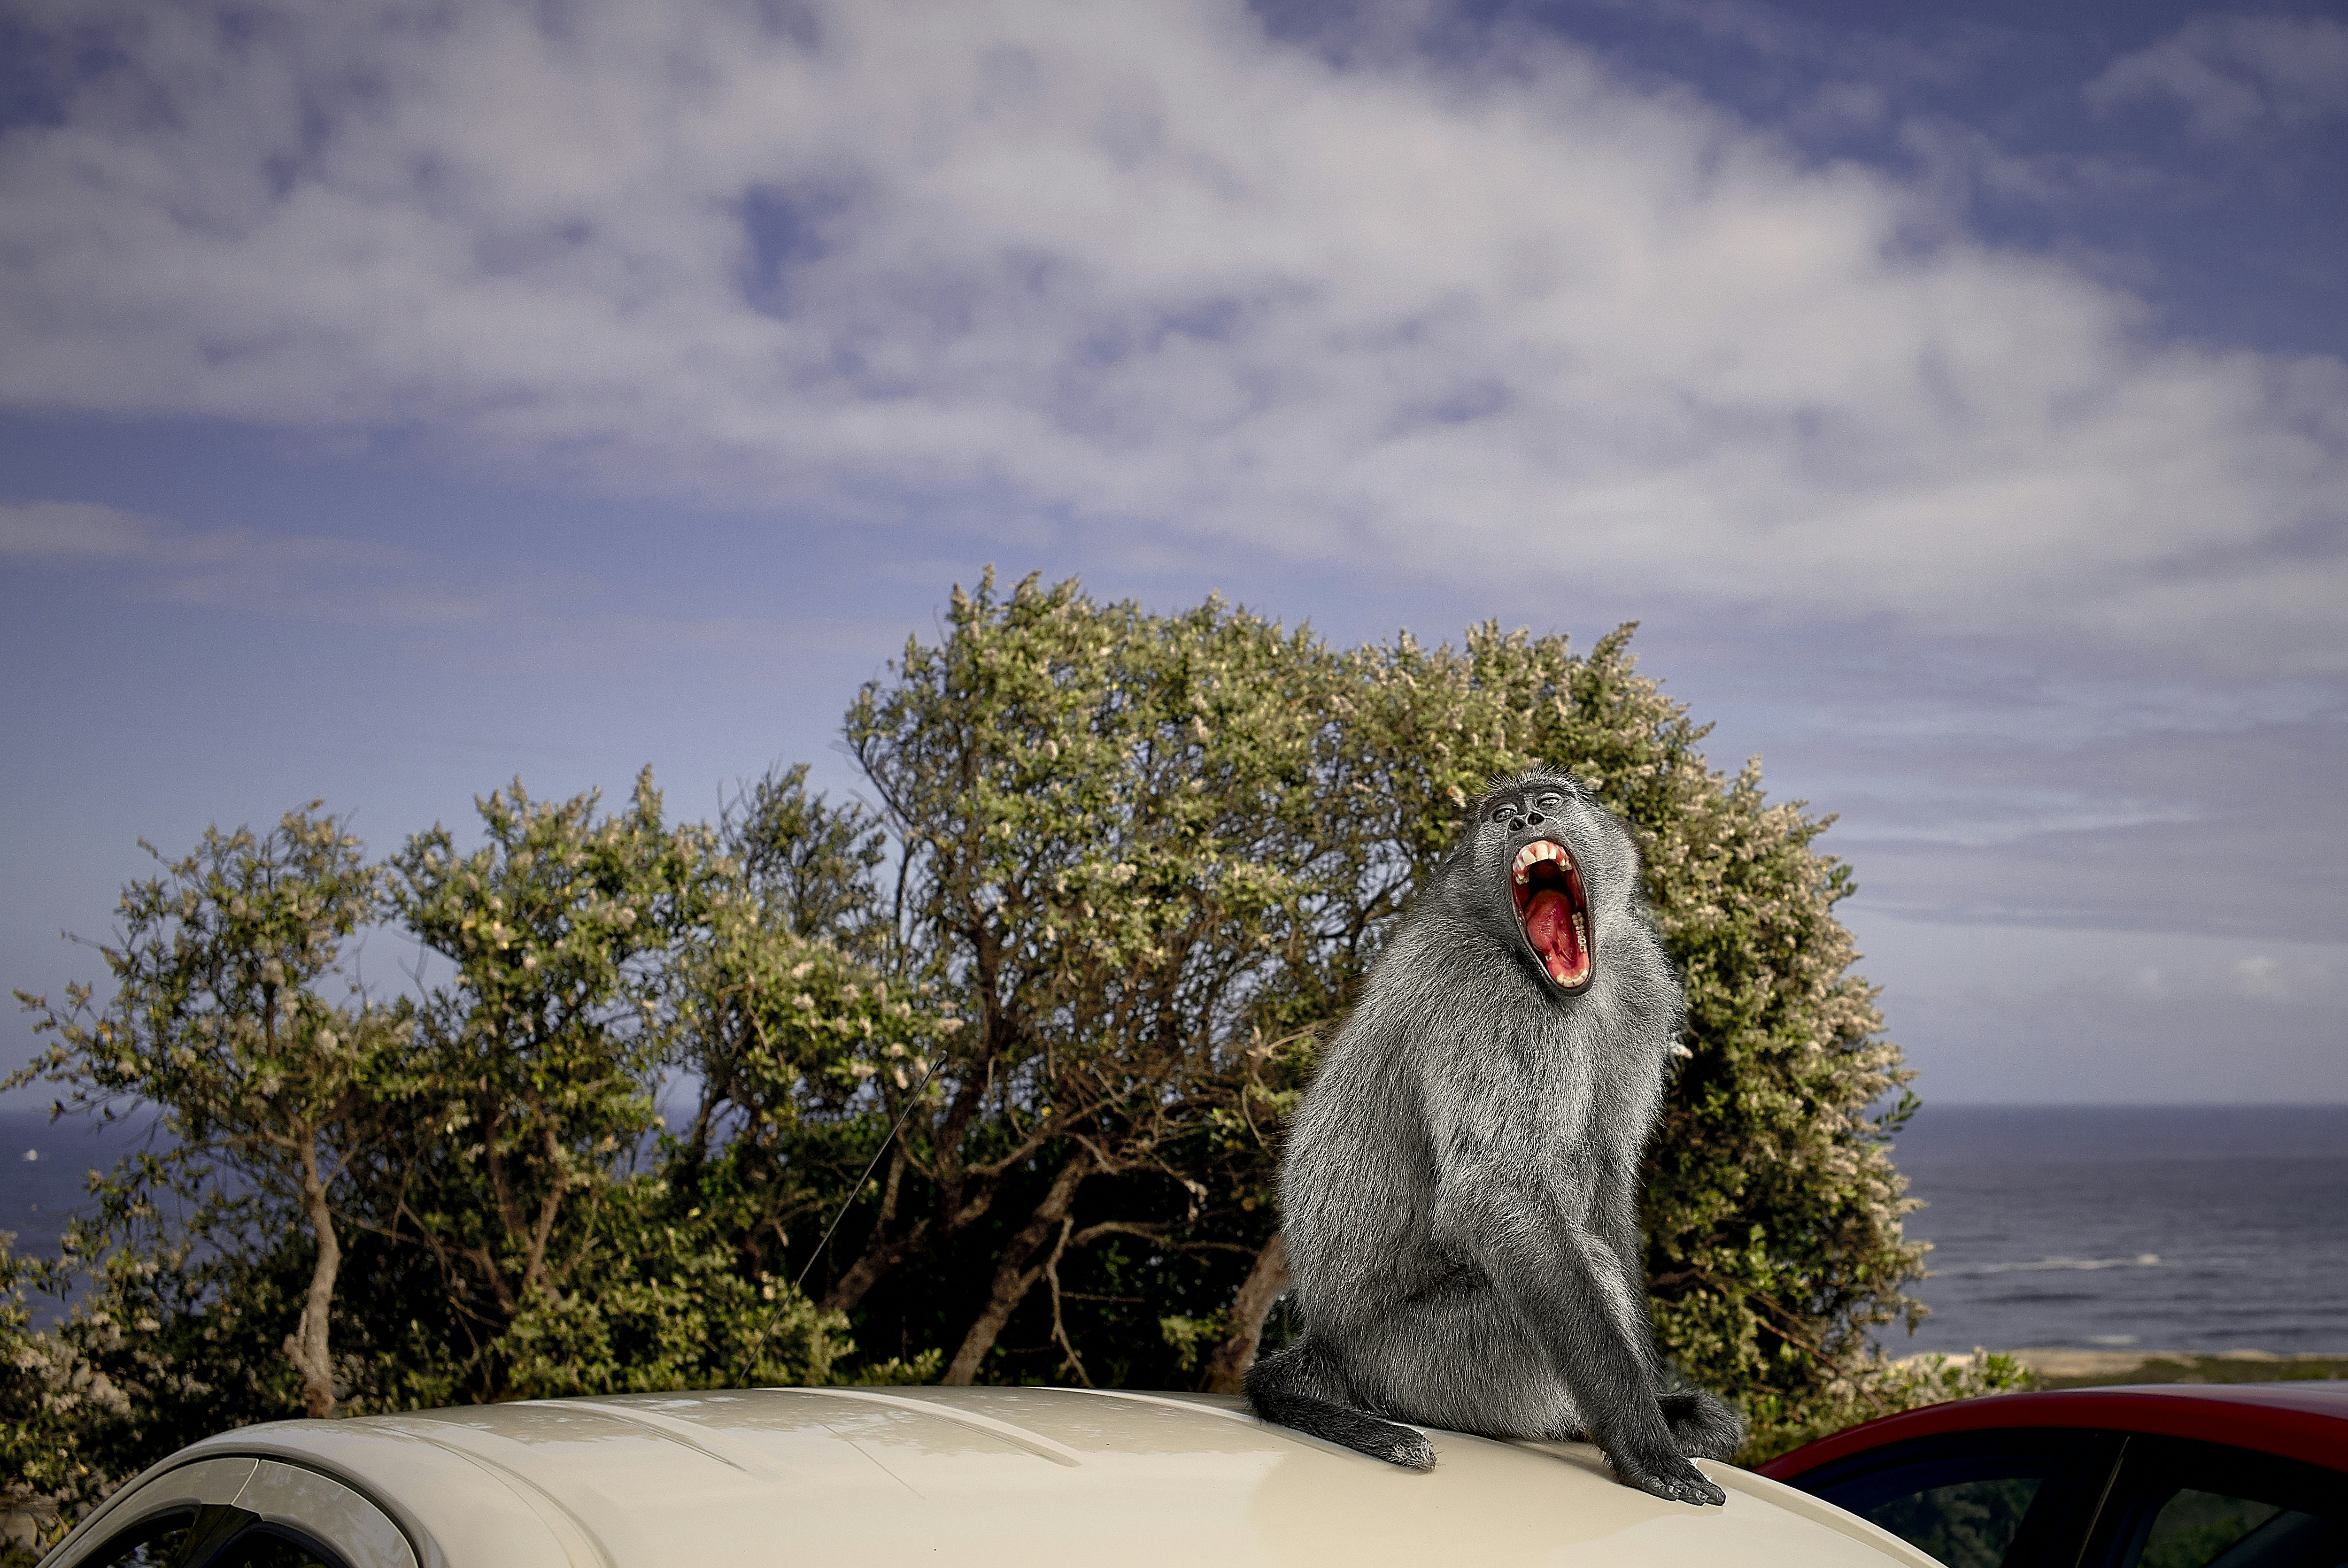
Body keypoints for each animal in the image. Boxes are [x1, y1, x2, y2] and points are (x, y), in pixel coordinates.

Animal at [1246, 769, 1743, 1506]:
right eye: (1501, 814)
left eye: (1552, 801)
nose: (1527, 818)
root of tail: (1334, 1344)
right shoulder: (1487, 998)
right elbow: (1499, 1191)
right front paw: (1643, 1439)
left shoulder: (1640, 986)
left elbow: (1606, 1174)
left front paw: (1660, 1408)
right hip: (1426, 1365)